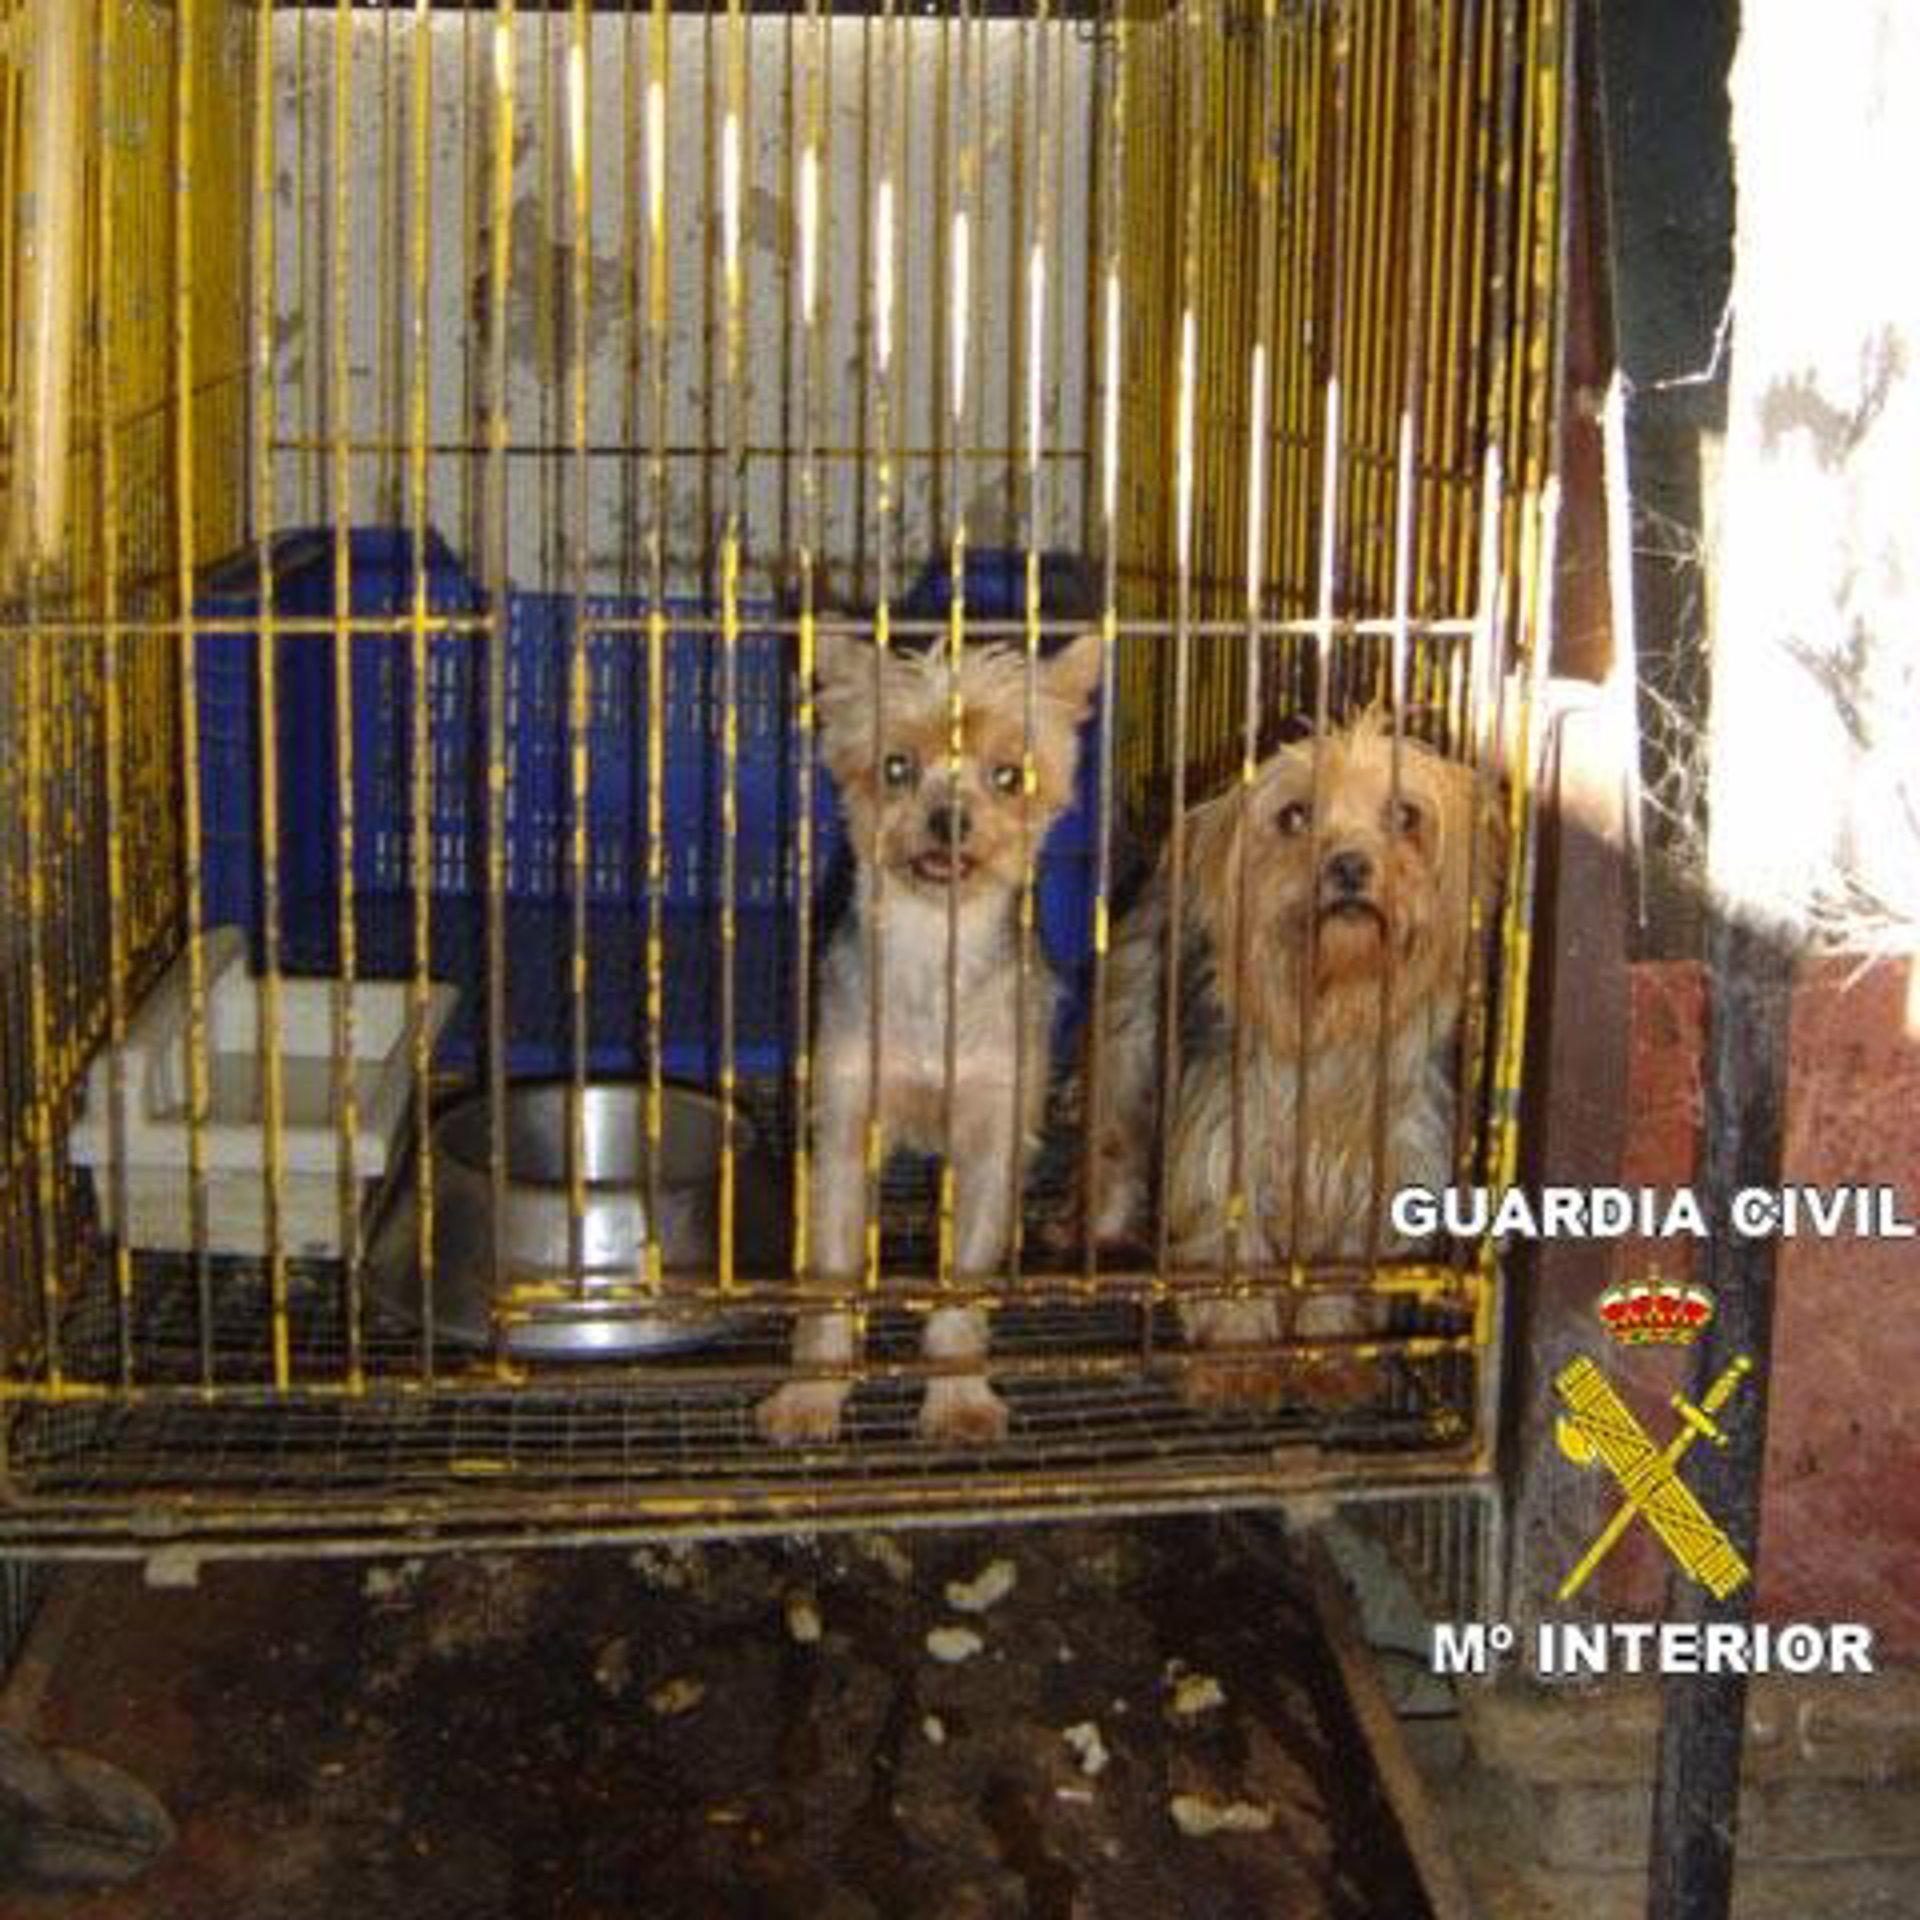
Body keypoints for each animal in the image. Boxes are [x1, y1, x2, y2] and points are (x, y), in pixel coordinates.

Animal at [757, 627, 1102, 1445]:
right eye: (895, 767)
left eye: (1009, 775)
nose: (949, 821)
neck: (932, 955)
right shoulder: (845, 1125)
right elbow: (831, 1276)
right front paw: (810, 1396)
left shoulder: (991, 1136)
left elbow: (963, 1281)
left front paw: (958, 1399)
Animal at [1087, 711, 1500, 1408]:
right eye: (1295, 816)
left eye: (1406, 815)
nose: (1350, 865)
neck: (1333, 1018)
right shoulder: (1226, 1153)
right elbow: (1235, 1265)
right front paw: (1238, 1363)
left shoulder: (1374, 1179)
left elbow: (1336, 1275)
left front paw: (1326, 1357)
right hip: (1129, 1044)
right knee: (1115, 1145)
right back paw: (1101, 1241)